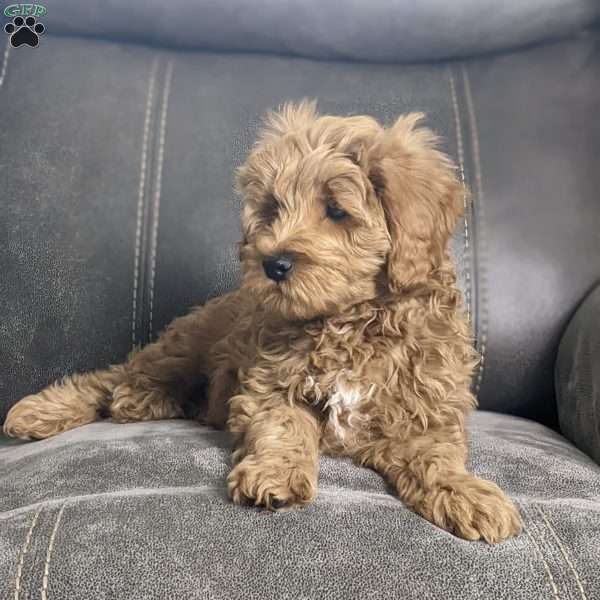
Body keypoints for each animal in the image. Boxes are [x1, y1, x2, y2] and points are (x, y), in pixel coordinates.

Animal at [3, 101, 520, 540]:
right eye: (273, 208)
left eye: (337, 211)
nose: (273, 263)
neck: (348, 321)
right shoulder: (269, 384)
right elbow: (285, 426)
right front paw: (276, 474)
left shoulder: (426, 407)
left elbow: (436, 455)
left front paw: (467, 494)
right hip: (183, 344)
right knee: (112, 378)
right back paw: (51, 409)